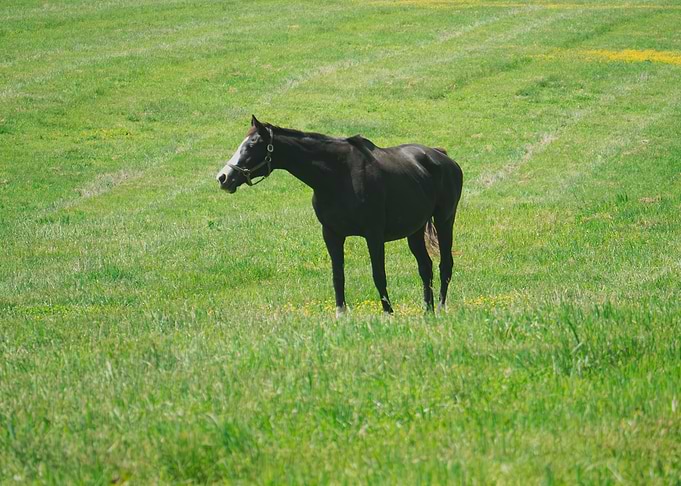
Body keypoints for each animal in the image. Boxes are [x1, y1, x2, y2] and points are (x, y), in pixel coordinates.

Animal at [217, 116, 463, 317]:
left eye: (252, 145)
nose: (223, 177)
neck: (338, 175)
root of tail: (442, 156)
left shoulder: (374, 235)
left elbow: (378, 274)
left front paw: (388, 314)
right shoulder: (331, 234)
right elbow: (338, 277)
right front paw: (341, 315)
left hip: (445, 220)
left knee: (445, 264)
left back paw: (441, 308)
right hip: (415, 230)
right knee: (425, 267)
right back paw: (428, 312)